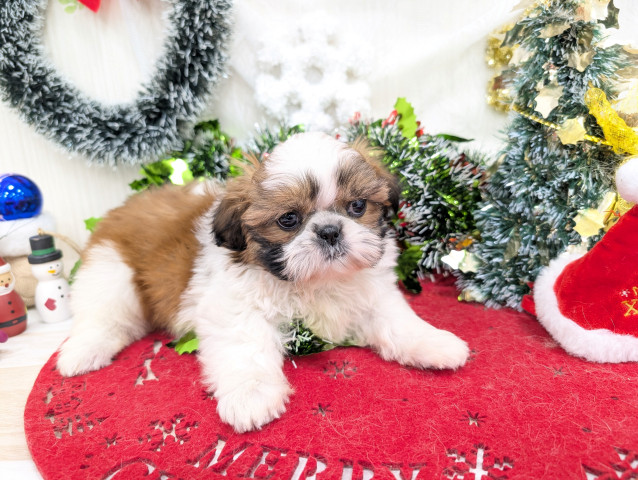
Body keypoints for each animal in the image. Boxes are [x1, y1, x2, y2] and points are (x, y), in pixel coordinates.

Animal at [57, 132, 469, 432]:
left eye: (357, 207)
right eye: (288, 219)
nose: (330, 231)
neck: (316, 282)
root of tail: (122, 209)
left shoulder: (371, 294)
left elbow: (396, 321)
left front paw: (434, 342)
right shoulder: (233, 306)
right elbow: (247, 347)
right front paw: (251, 395)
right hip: (111, 271)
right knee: (103, 317)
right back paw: (83, 352)